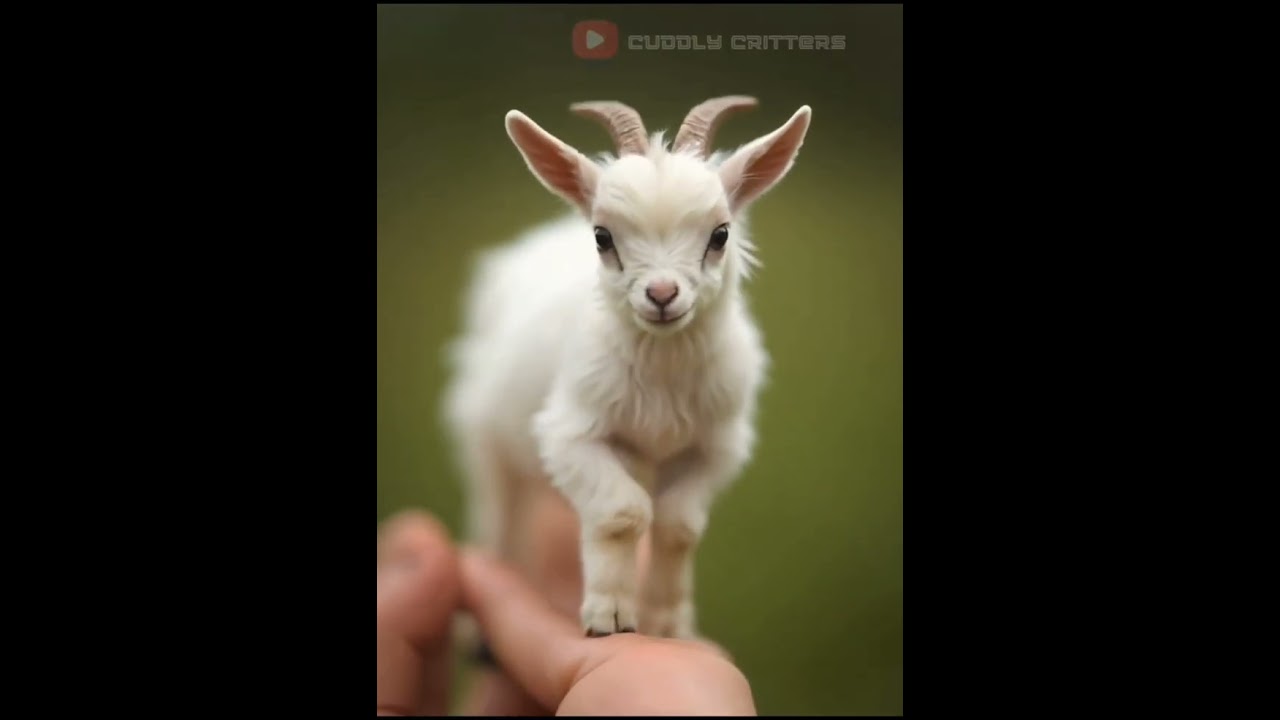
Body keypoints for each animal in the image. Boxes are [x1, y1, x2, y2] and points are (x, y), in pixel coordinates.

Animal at [442, 96, 812, 640]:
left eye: (720, 234)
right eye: (602, 237)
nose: (661, 295)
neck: (662, 368)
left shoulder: (715, 446)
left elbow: (679, 524)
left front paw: (668, 622)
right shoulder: (570, 435)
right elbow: (623, 511)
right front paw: (610, 618)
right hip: (485, 437)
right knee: (498, 515)